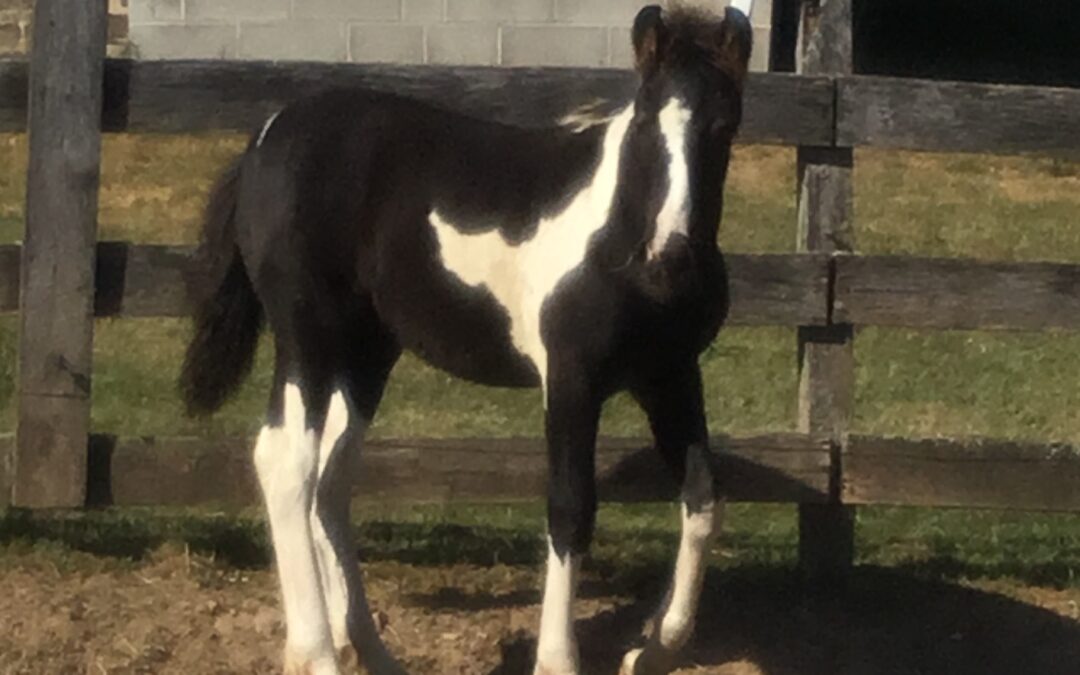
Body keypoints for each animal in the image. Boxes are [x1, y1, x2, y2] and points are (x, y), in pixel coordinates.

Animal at [180, 5, 752, 674]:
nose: (669, 260)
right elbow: (570, 510)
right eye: (643, 119)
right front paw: (558, 660)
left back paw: (372, 650)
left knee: (331, 478)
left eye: (723, 125)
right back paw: (316, 651)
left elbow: (704, 499)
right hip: (307, 336)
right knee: (285, 462)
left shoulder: (671, 376)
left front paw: (653, 648)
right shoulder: (571, 379)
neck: (616, 237)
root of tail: (263, 139)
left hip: (367, 352)